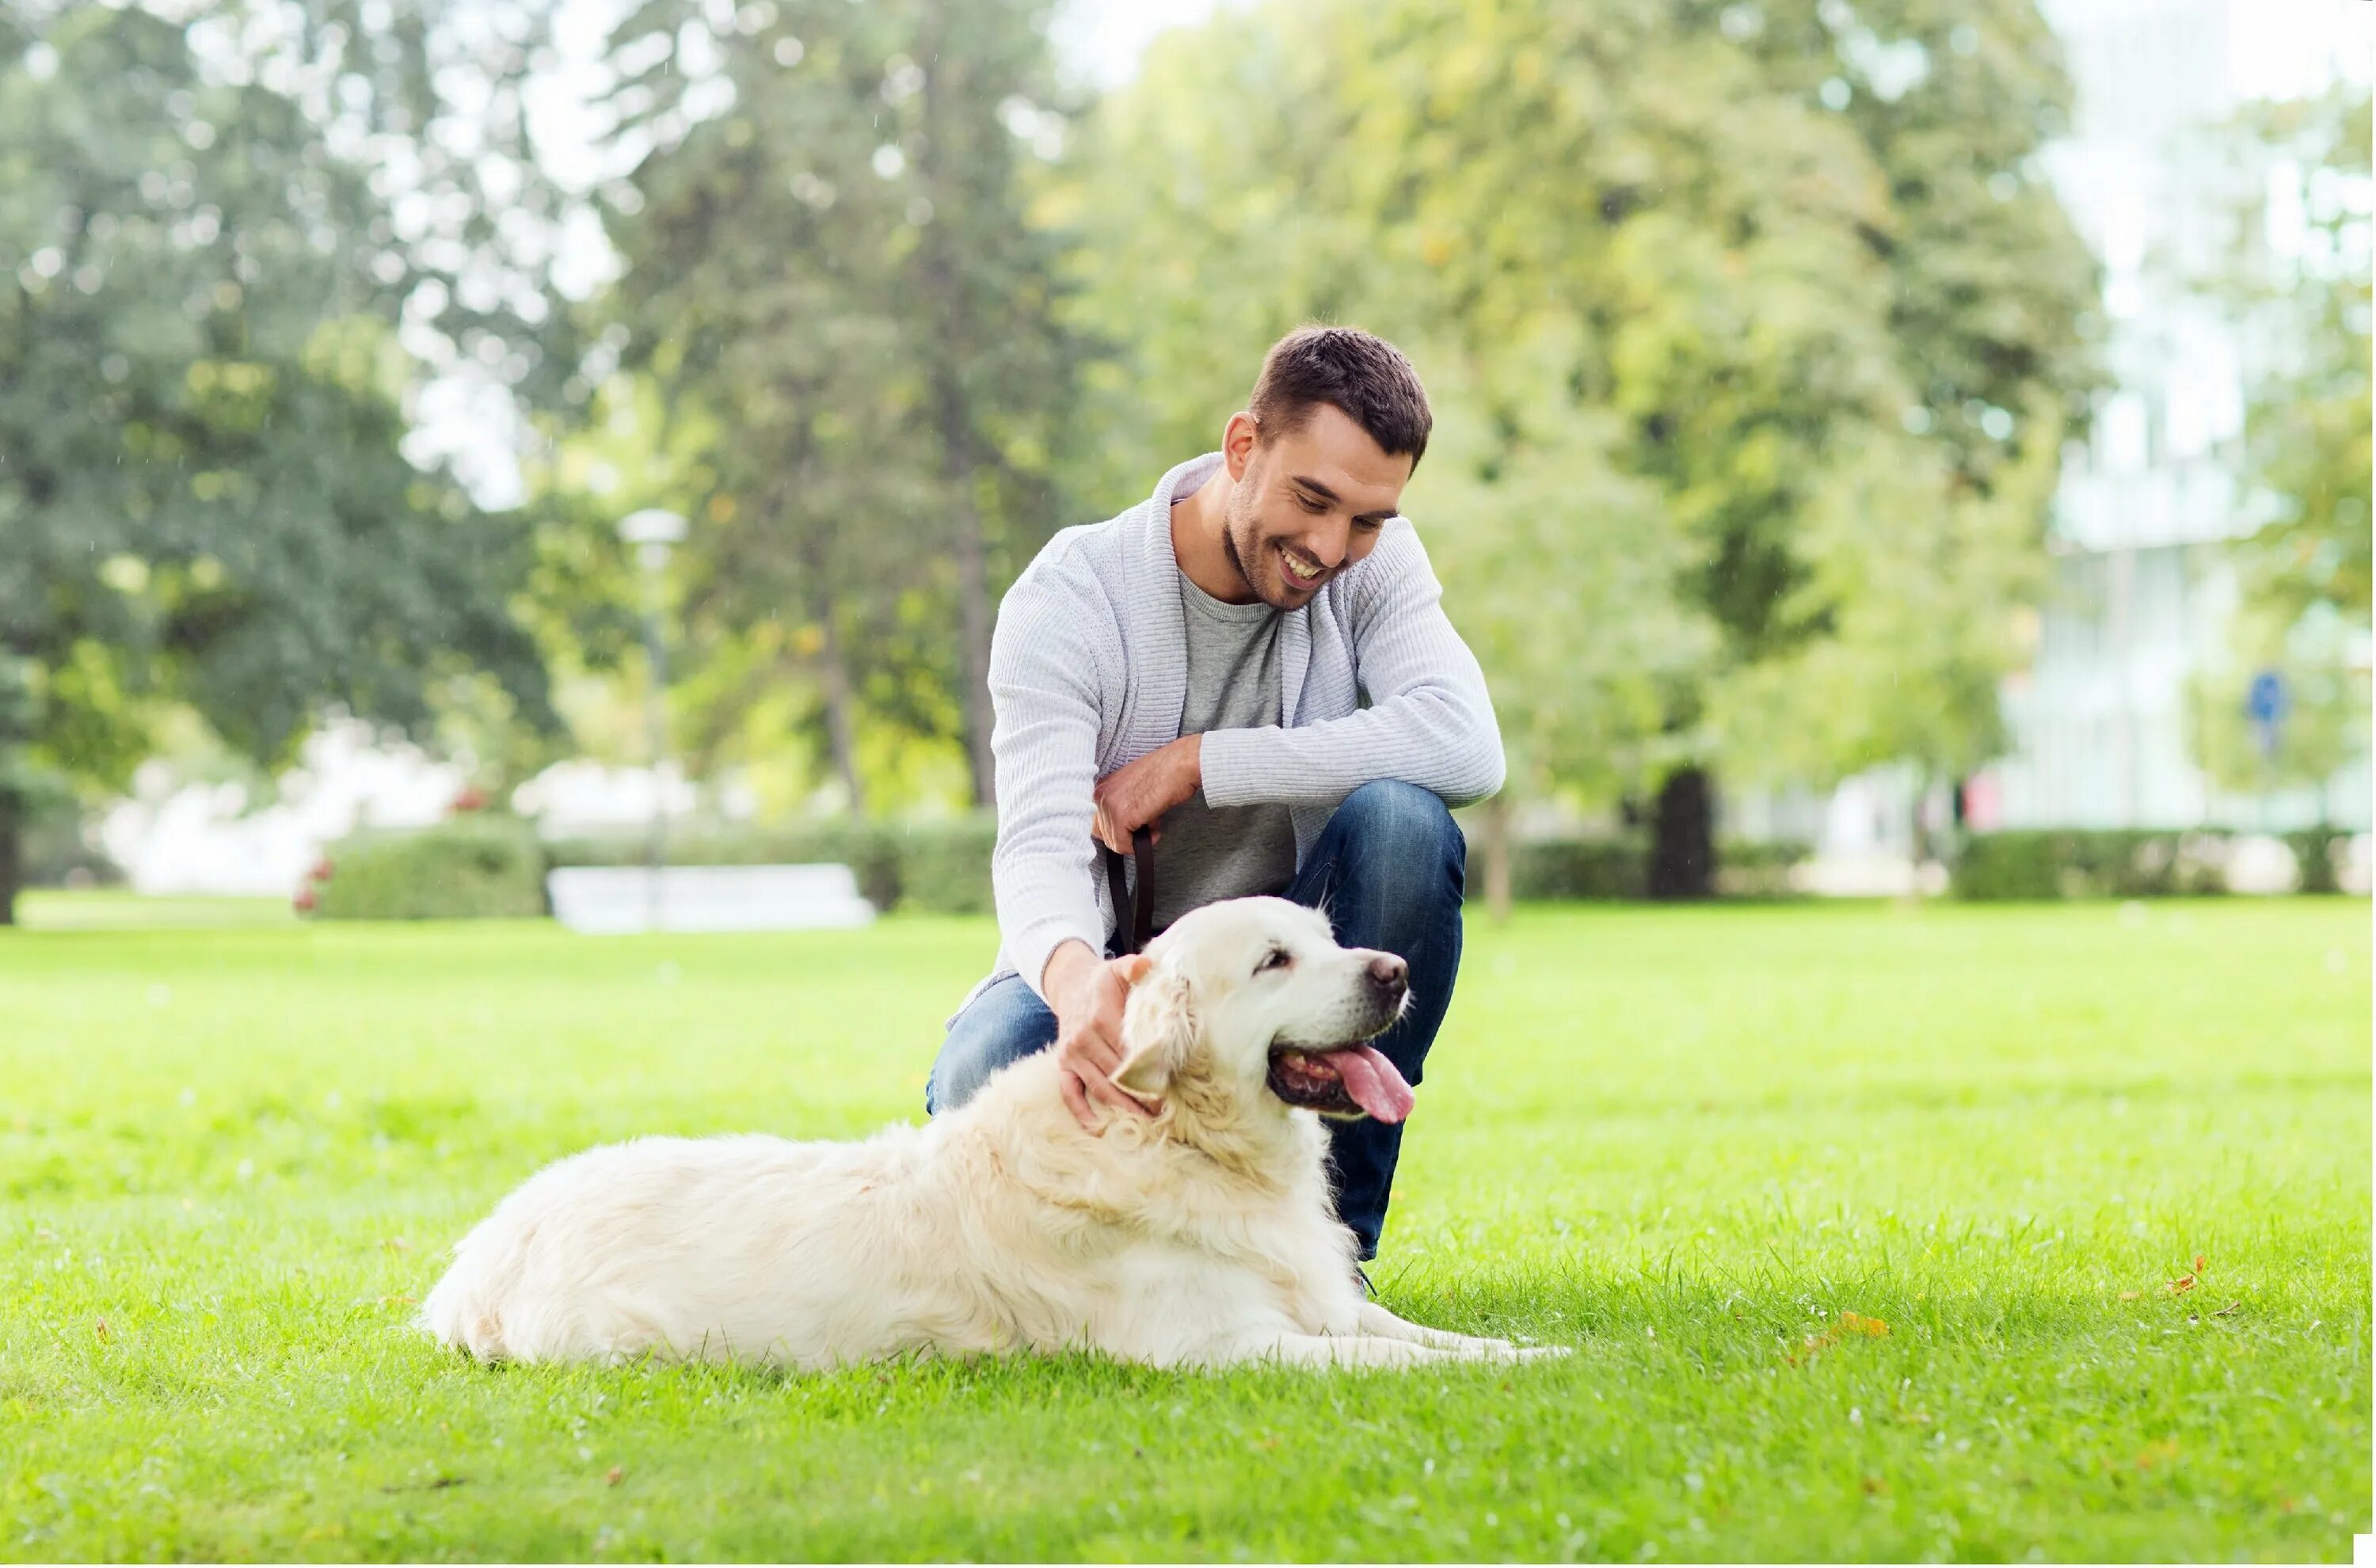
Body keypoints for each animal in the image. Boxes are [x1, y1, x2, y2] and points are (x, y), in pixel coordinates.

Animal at [418, 893, 1568, 1368]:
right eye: (1274, 961)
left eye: (1328, 939)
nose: (1395, 971)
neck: (1183, 1141)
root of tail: (486, 1244)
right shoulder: (1219, 1347)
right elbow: (1397, 1362)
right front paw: (1527, 1370)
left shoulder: (1320, 1302)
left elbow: (1422, 1337)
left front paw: (1547, 1349)